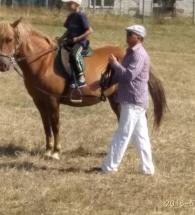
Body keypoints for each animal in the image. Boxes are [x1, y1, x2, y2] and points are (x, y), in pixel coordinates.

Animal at [0, 18, 167, 160]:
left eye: (9, 39)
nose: (3, 65)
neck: (43, 62)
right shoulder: (39, 101)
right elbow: (46, 126)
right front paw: (47, 150)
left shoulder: (53, 100)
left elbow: (55, 125)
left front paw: (56, 152)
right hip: (115, 99)